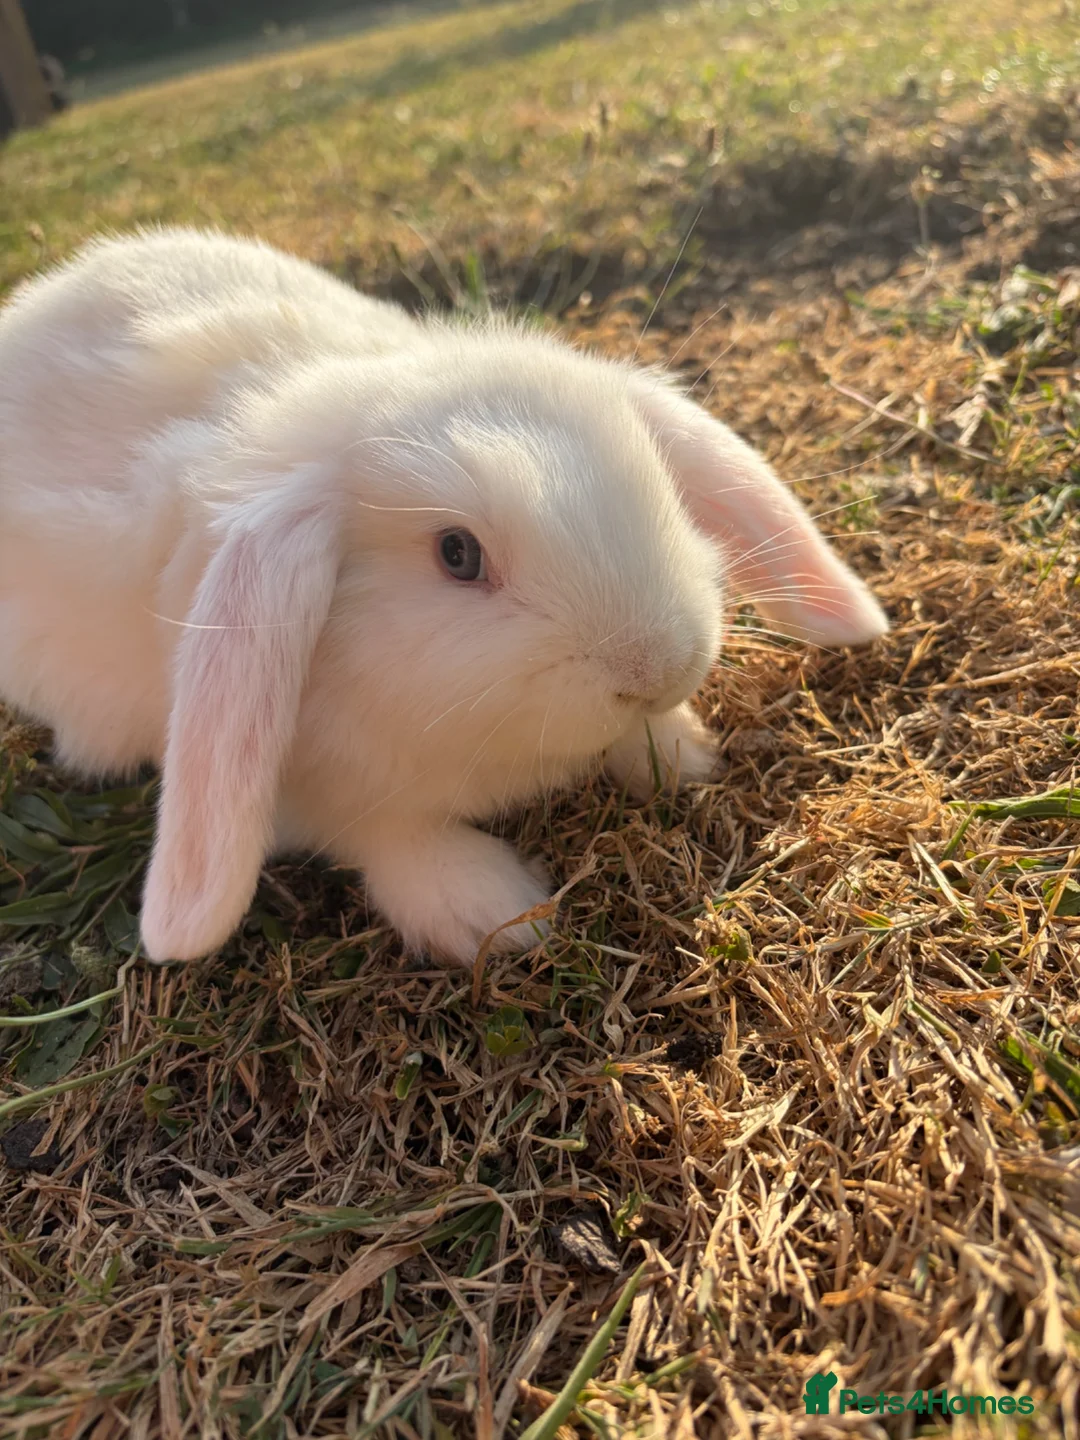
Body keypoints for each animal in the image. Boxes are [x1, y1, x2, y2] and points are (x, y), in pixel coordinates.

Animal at [0, 228, 888, 966]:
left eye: (658, 483)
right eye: (457, 555)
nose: (657, 670)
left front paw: (679, 750)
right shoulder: (321, 796)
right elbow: (390, 835)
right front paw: (500, 914)